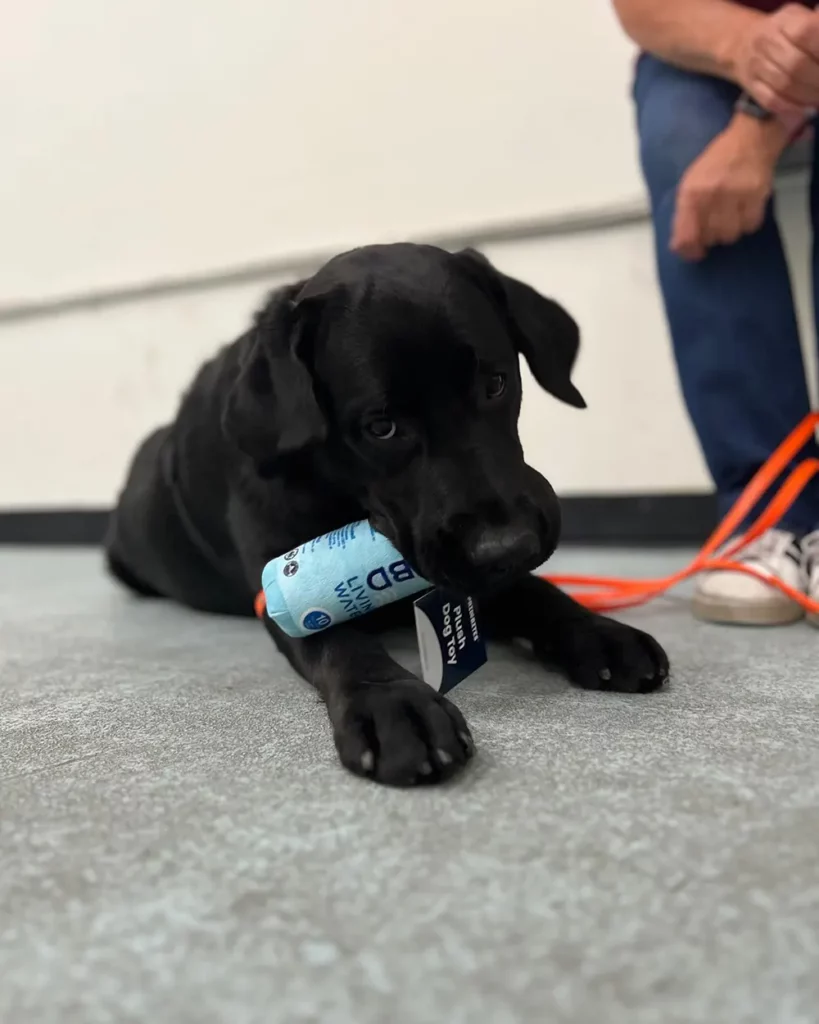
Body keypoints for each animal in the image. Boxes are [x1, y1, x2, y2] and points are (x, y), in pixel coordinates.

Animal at [105, 243, 667, 786]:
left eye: (495, 384)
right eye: (381, 427)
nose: (509, 547)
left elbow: (536, 592)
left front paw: (598, 633)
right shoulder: (280, 583)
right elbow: (339, 639)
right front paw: (394, 704)